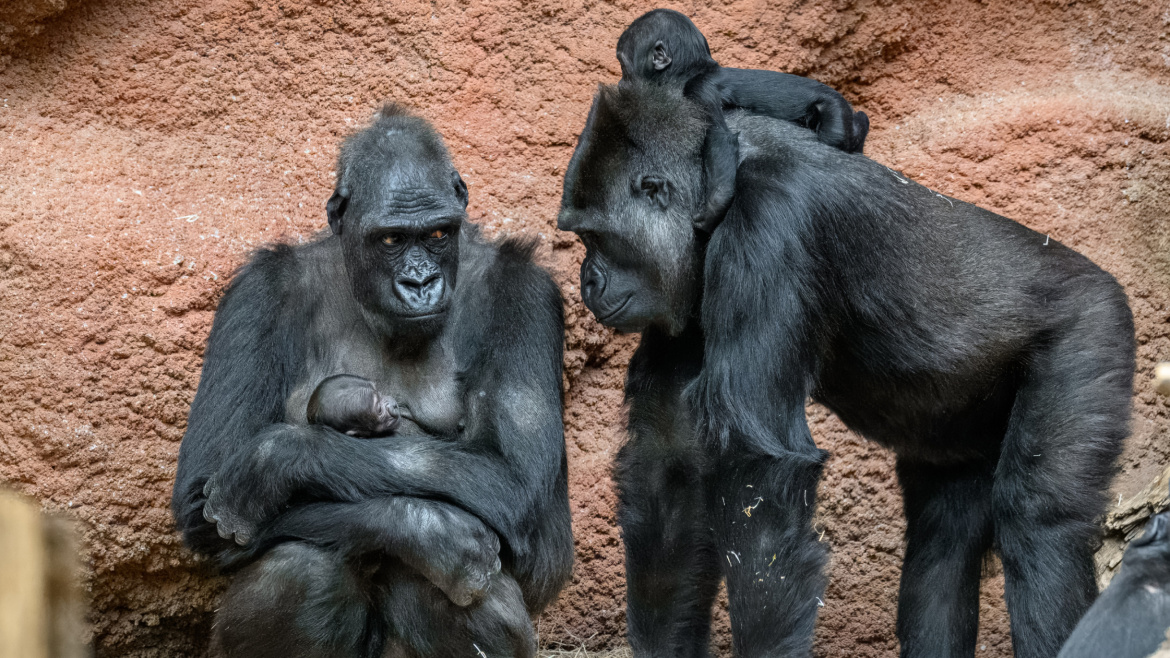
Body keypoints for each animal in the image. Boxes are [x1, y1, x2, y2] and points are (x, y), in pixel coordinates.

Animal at [170, 102, 573, 655]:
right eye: (391, 239)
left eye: (438, 234)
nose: (420, 282)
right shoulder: (257, 292)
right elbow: (200, 494)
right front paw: (424, 528)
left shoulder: (525, 292)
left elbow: (518, 489)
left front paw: (275, 459)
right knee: (302, 566)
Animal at [556, 81, 1132, 655]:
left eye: (594, 237)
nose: (587, 281)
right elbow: (668, 466)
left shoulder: (767, 223)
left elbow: (758, 483)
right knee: (943, 541)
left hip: (1095, 325)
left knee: (1040, 525)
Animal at [617, 7, 865, 152]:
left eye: (623, 66)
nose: (620, 83)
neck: (693, 72)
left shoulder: (699, 90)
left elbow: (719, 137)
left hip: (834, 108)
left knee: (835, 137)